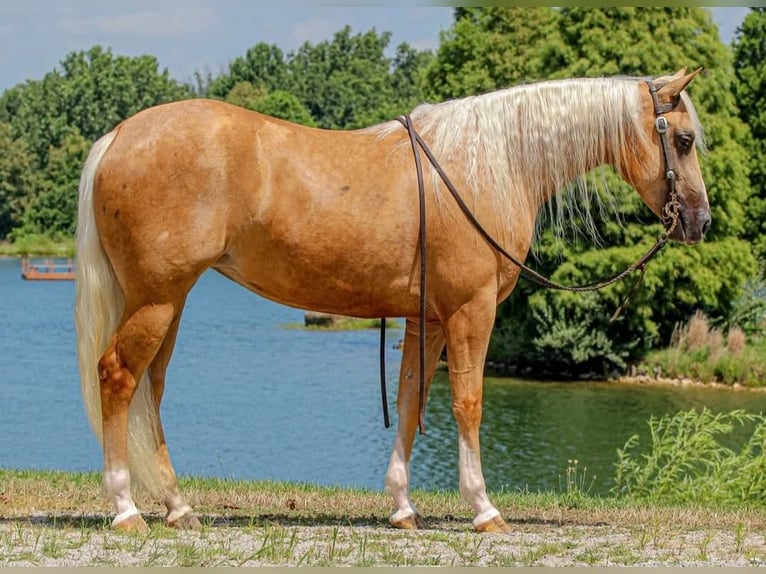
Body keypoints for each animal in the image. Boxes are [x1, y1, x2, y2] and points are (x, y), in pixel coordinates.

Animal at [74, 68, 709, 534]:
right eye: (682, 139)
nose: (699, 222)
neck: (489, 164)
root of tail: (119, 136)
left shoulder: (425, 318)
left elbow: (409, 403)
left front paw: (404, 509)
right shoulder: (471, 311)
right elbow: (468, 404)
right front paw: (485, 510)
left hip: (167, 303)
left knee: (151, 391)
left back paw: (178, 507)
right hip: (156, 301)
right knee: (118, 378)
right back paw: (126, 511)